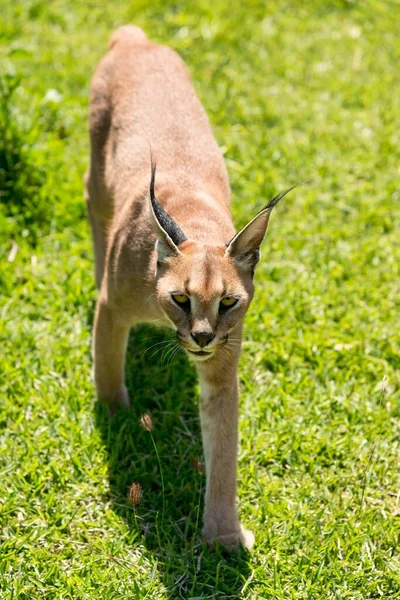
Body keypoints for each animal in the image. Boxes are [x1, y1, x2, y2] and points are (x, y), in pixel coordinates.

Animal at [85, 25, 296, 552]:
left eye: (229, 302)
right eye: (179, 299)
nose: (201, 336)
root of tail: (136, 39)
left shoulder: (224, 362)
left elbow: (224, 449)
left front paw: (222, 534)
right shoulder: (114, 309)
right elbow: (108, 369)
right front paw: (117, 418)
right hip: (96, 174)